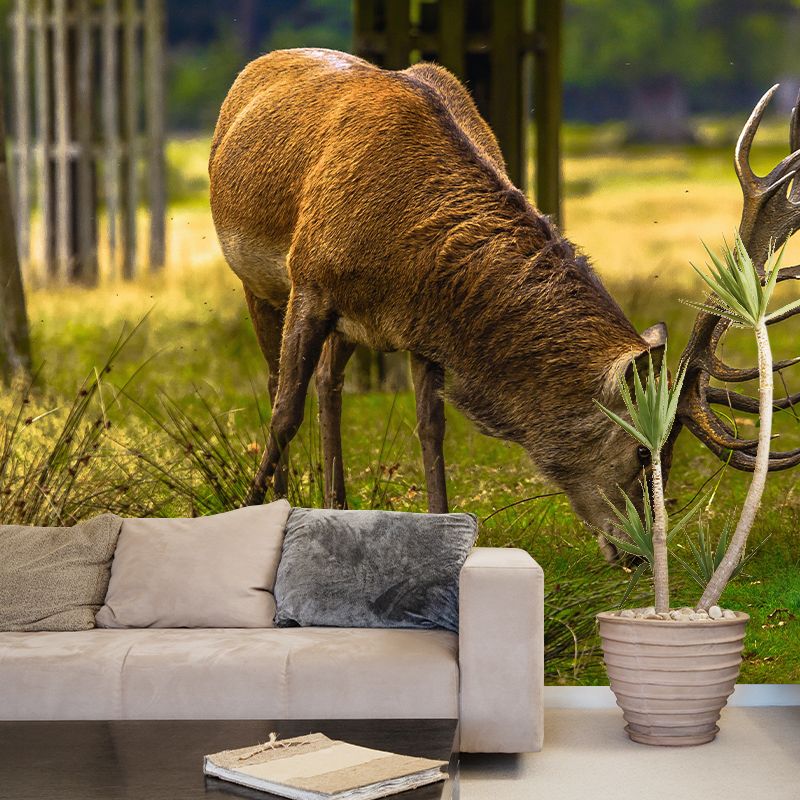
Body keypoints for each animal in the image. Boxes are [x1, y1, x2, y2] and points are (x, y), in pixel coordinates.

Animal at [209, 48, 800, 561]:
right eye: (640, 450)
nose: (638, 552)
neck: (406, 255)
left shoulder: (418, 329)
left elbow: (431, 428)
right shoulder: (310, 283)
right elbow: (284, 413)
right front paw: (246, 512)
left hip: (352, 328)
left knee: (330, 383)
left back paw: (337, 504)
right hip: (259, 283)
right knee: (277, 382)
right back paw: (283, 499)